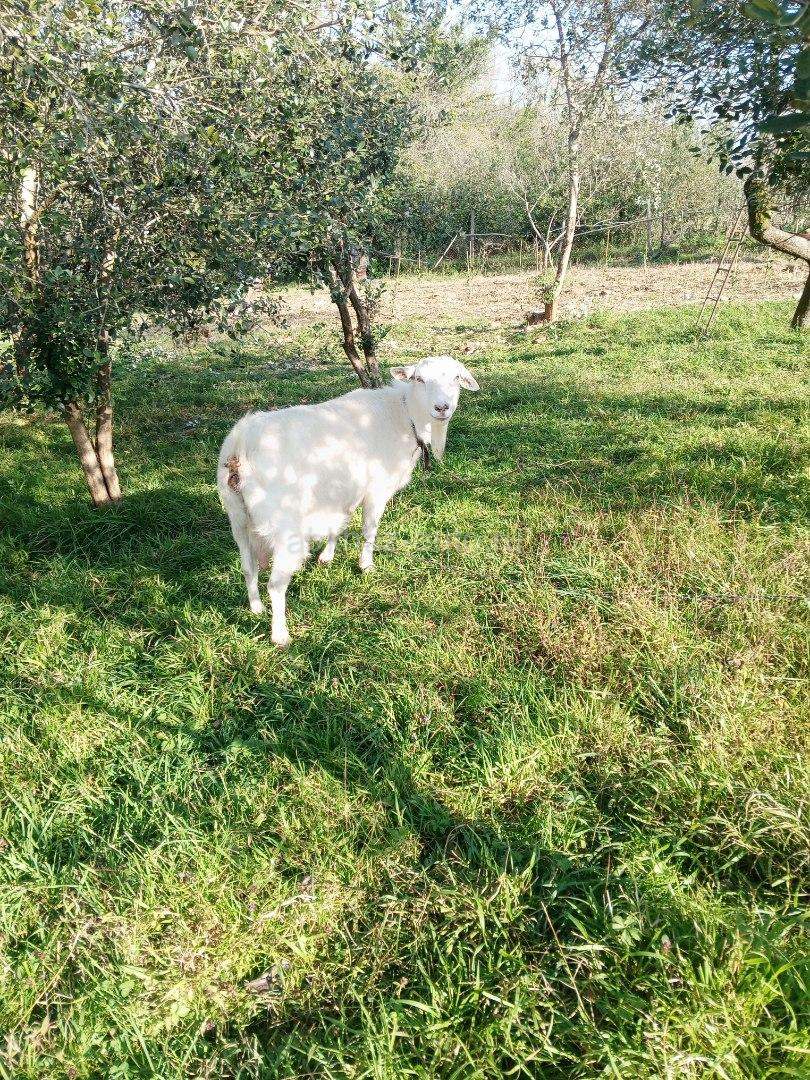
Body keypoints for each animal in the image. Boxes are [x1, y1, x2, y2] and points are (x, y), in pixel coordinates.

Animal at [217, 355, 479, 645]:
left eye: (456, 378)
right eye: (419, 379)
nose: (442, 407)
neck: (404, 415)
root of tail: (240, 445)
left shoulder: (344, 491)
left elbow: (339, 524)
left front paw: (327, 556)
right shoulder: (376, 489)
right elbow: (369, 530)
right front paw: (366, 565)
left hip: (238, 517)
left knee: (248, 567)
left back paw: (256, 608)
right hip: (285, 527)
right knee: (275, 584)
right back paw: (280, 635)